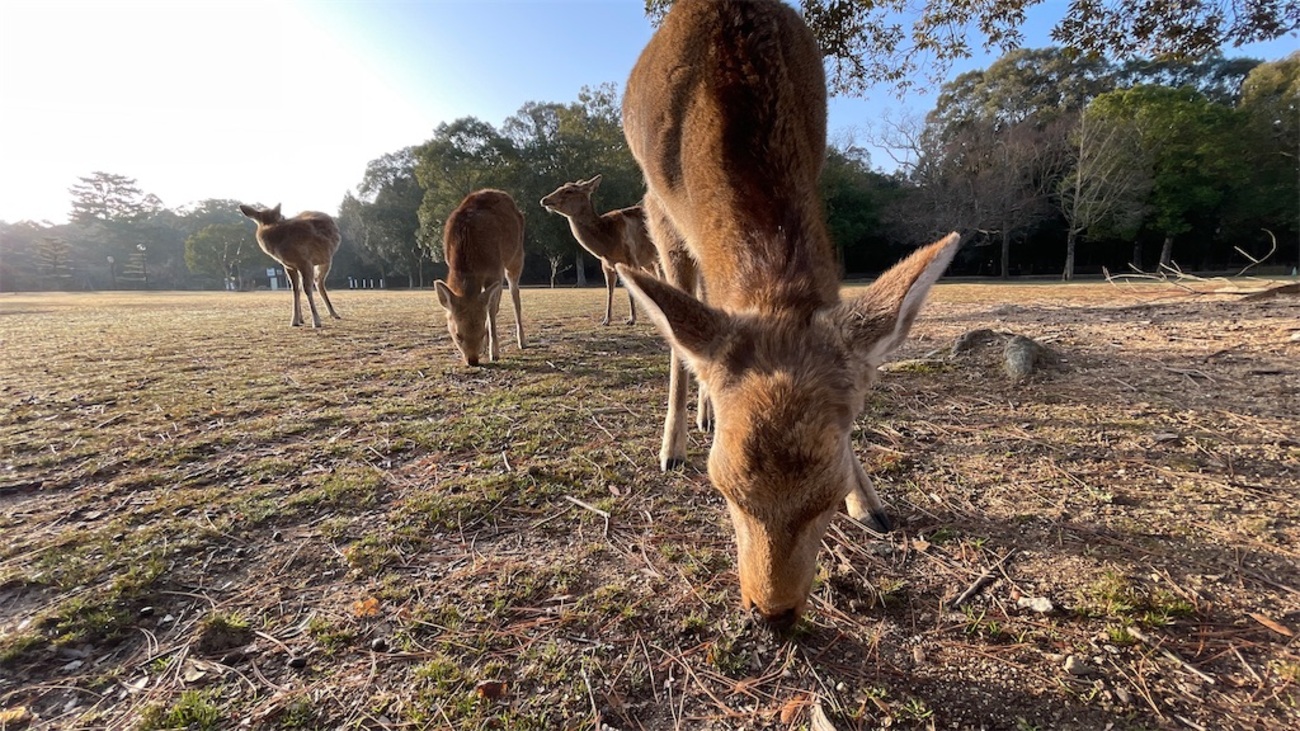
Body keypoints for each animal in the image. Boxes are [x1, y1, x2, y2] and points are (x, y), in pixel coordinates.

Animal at [434, 189, 526, 366]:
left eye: (482, 332)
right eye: (458, 335)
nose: (473, 360)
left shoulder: (495, 269)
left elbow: (492, 309)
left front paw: (494, 352)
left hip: (516, 256)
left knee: (514, 294)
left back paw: (522, 341)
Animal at [540, 175, 660, 325]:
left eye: (569, 191)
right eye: (561, 186)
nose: (544, 199)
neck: (608, 244)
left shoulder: (631, 257)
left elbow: (631, 288)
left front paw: (631, 319)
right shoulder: (606, 265)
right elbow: (609, 289)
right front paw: (606, 320)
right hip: (648, 263)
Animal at [617, 0, 961, 628]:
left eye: (827, 494)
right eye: (723, 489)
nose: (772, 612)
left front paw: (871, 505)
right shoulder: (659, 215)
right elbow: (681, 338)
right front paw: (671, 448)